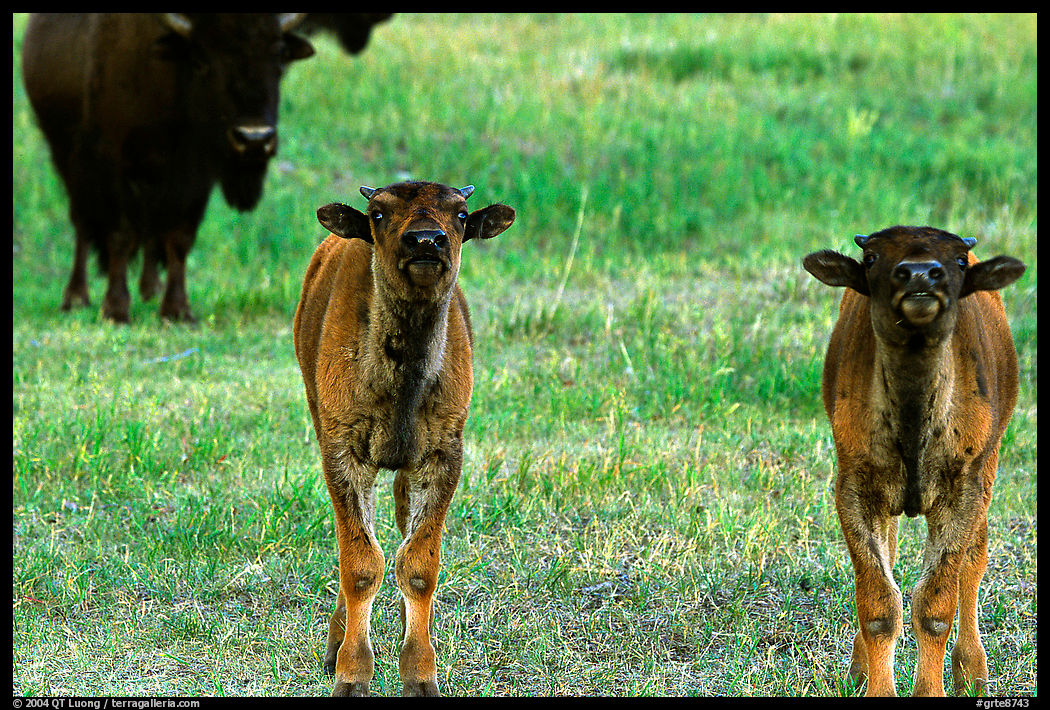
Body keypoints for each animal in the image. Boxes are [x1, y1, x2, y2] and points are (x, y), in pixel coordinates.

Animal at [21, 13, 315, 323]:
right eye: (201, 59)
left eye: (280, 55)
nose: (254, 138)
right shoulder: (113, 163)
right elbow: (120, 233)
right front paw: (115, 309)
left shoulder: (193, 176)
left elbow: (179, 236)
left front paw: (177, 310)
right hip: (67, 157)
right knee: (83, 223)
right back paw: (76, 297)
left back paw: (151, 289)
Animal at [293, 181, 515, 696]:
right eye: (378, 213)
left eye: (461, 213)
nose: (426, 242)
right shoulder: (344, 455)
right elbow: (360, 564)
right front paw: (351, 674)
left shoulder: (441, 457)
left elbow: (416, 565)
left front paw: (419, 673)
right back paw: (336, 645)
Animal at [802, 226, 1026, 696]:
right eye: (870, 257)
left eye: (957, 260)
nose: (920, 275)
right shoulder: (856, 489)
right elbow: (879, 603)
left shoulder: (963, 493)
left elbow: (936, 605)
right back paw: (859, 667)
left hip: (990, 467)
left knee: (973, 564)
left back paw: (973, 673)